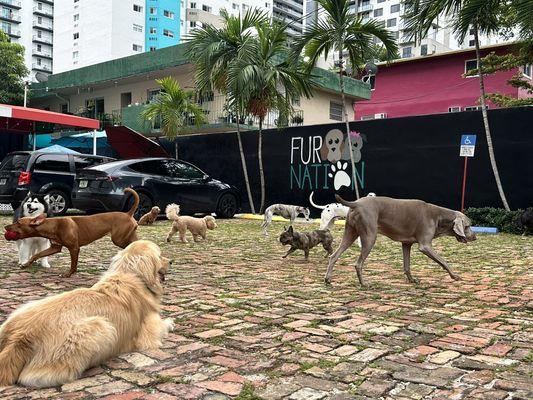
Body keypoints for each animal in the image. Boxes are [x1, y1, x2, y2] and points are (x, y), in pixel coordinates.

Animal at [0, 241, 172, 388]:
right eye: (159, 255)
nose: (171, 261)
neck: (129, 274)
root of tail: (19, 336)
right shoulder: (149, 332)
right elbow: (163, 325)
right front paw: (170, 322)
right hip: (102, 327)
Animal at [4, 188, 140, 276]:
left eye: (19, 223)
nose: (5, 227)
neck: (54, 225)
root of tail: (128, 214)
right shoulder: (55, 248)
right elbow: (36, 255)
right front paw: (25, 264)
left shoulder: (74, 248)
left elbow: (73, 264)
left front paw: (69, 274)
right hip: (128, 237)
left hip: (118, 239)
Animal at [324, 195, 478, 286]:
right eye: (468, 226)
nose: (475, 237)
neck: (439, 216)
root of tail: (356, 203)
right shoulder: (425, 246)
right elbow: (443, 261)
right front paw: (454, 276)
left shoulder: (406, 243)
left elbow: (407, 265)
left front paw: (412, 280)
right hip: (370, 236)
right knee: (358, 263)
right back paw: (364, 283)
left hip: (350, 233)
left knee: (334, 256)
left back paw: (327, 279)